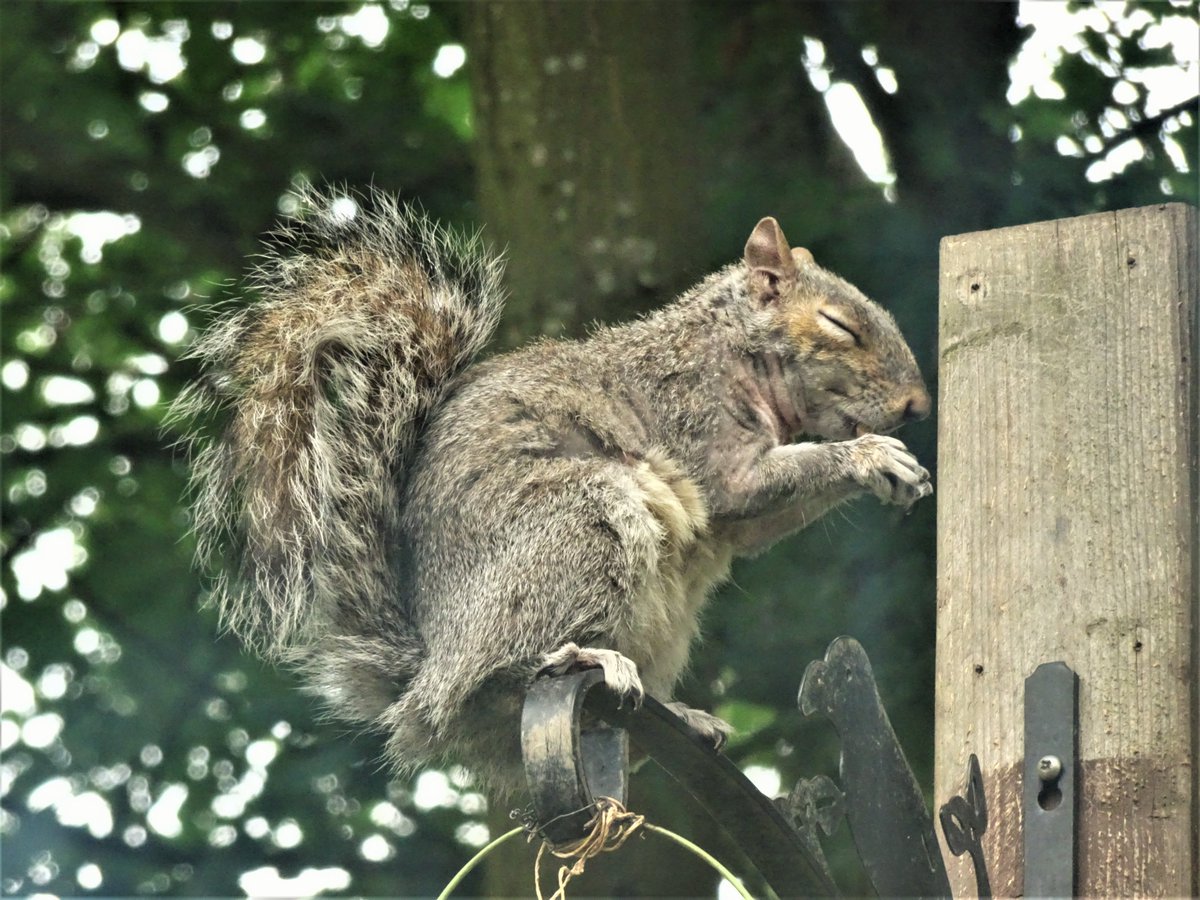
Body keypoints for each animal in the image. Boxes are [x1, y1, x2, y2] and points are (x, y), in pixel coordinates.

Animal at [174, 187, 931, 797]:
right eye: (839, 325)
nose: (918, 406)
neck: (732, 351)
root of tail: (430, 670)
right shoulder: (695, 426)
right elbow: (742, 487)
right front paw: (870, 457)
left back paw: (679, 715)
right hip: (582, 523)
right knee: (505, 669)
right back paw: (579, 658)